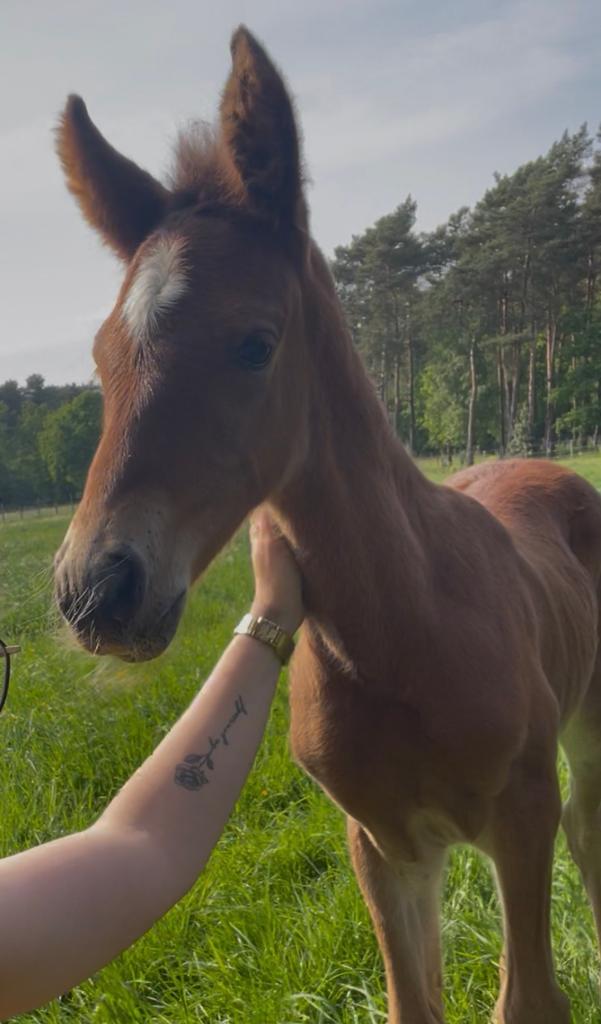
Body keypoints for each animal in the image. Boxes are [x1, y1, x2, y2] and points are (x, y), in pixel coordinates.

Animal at [53, 27, 601, 1024]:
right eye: (104, 356)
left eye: (254, 344)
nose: (95, 590)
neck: (406, 630)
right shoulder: (382, 843)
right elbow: (412, 1003)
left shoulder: (521, 812)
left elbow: (530, 999)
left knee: (591, 827)